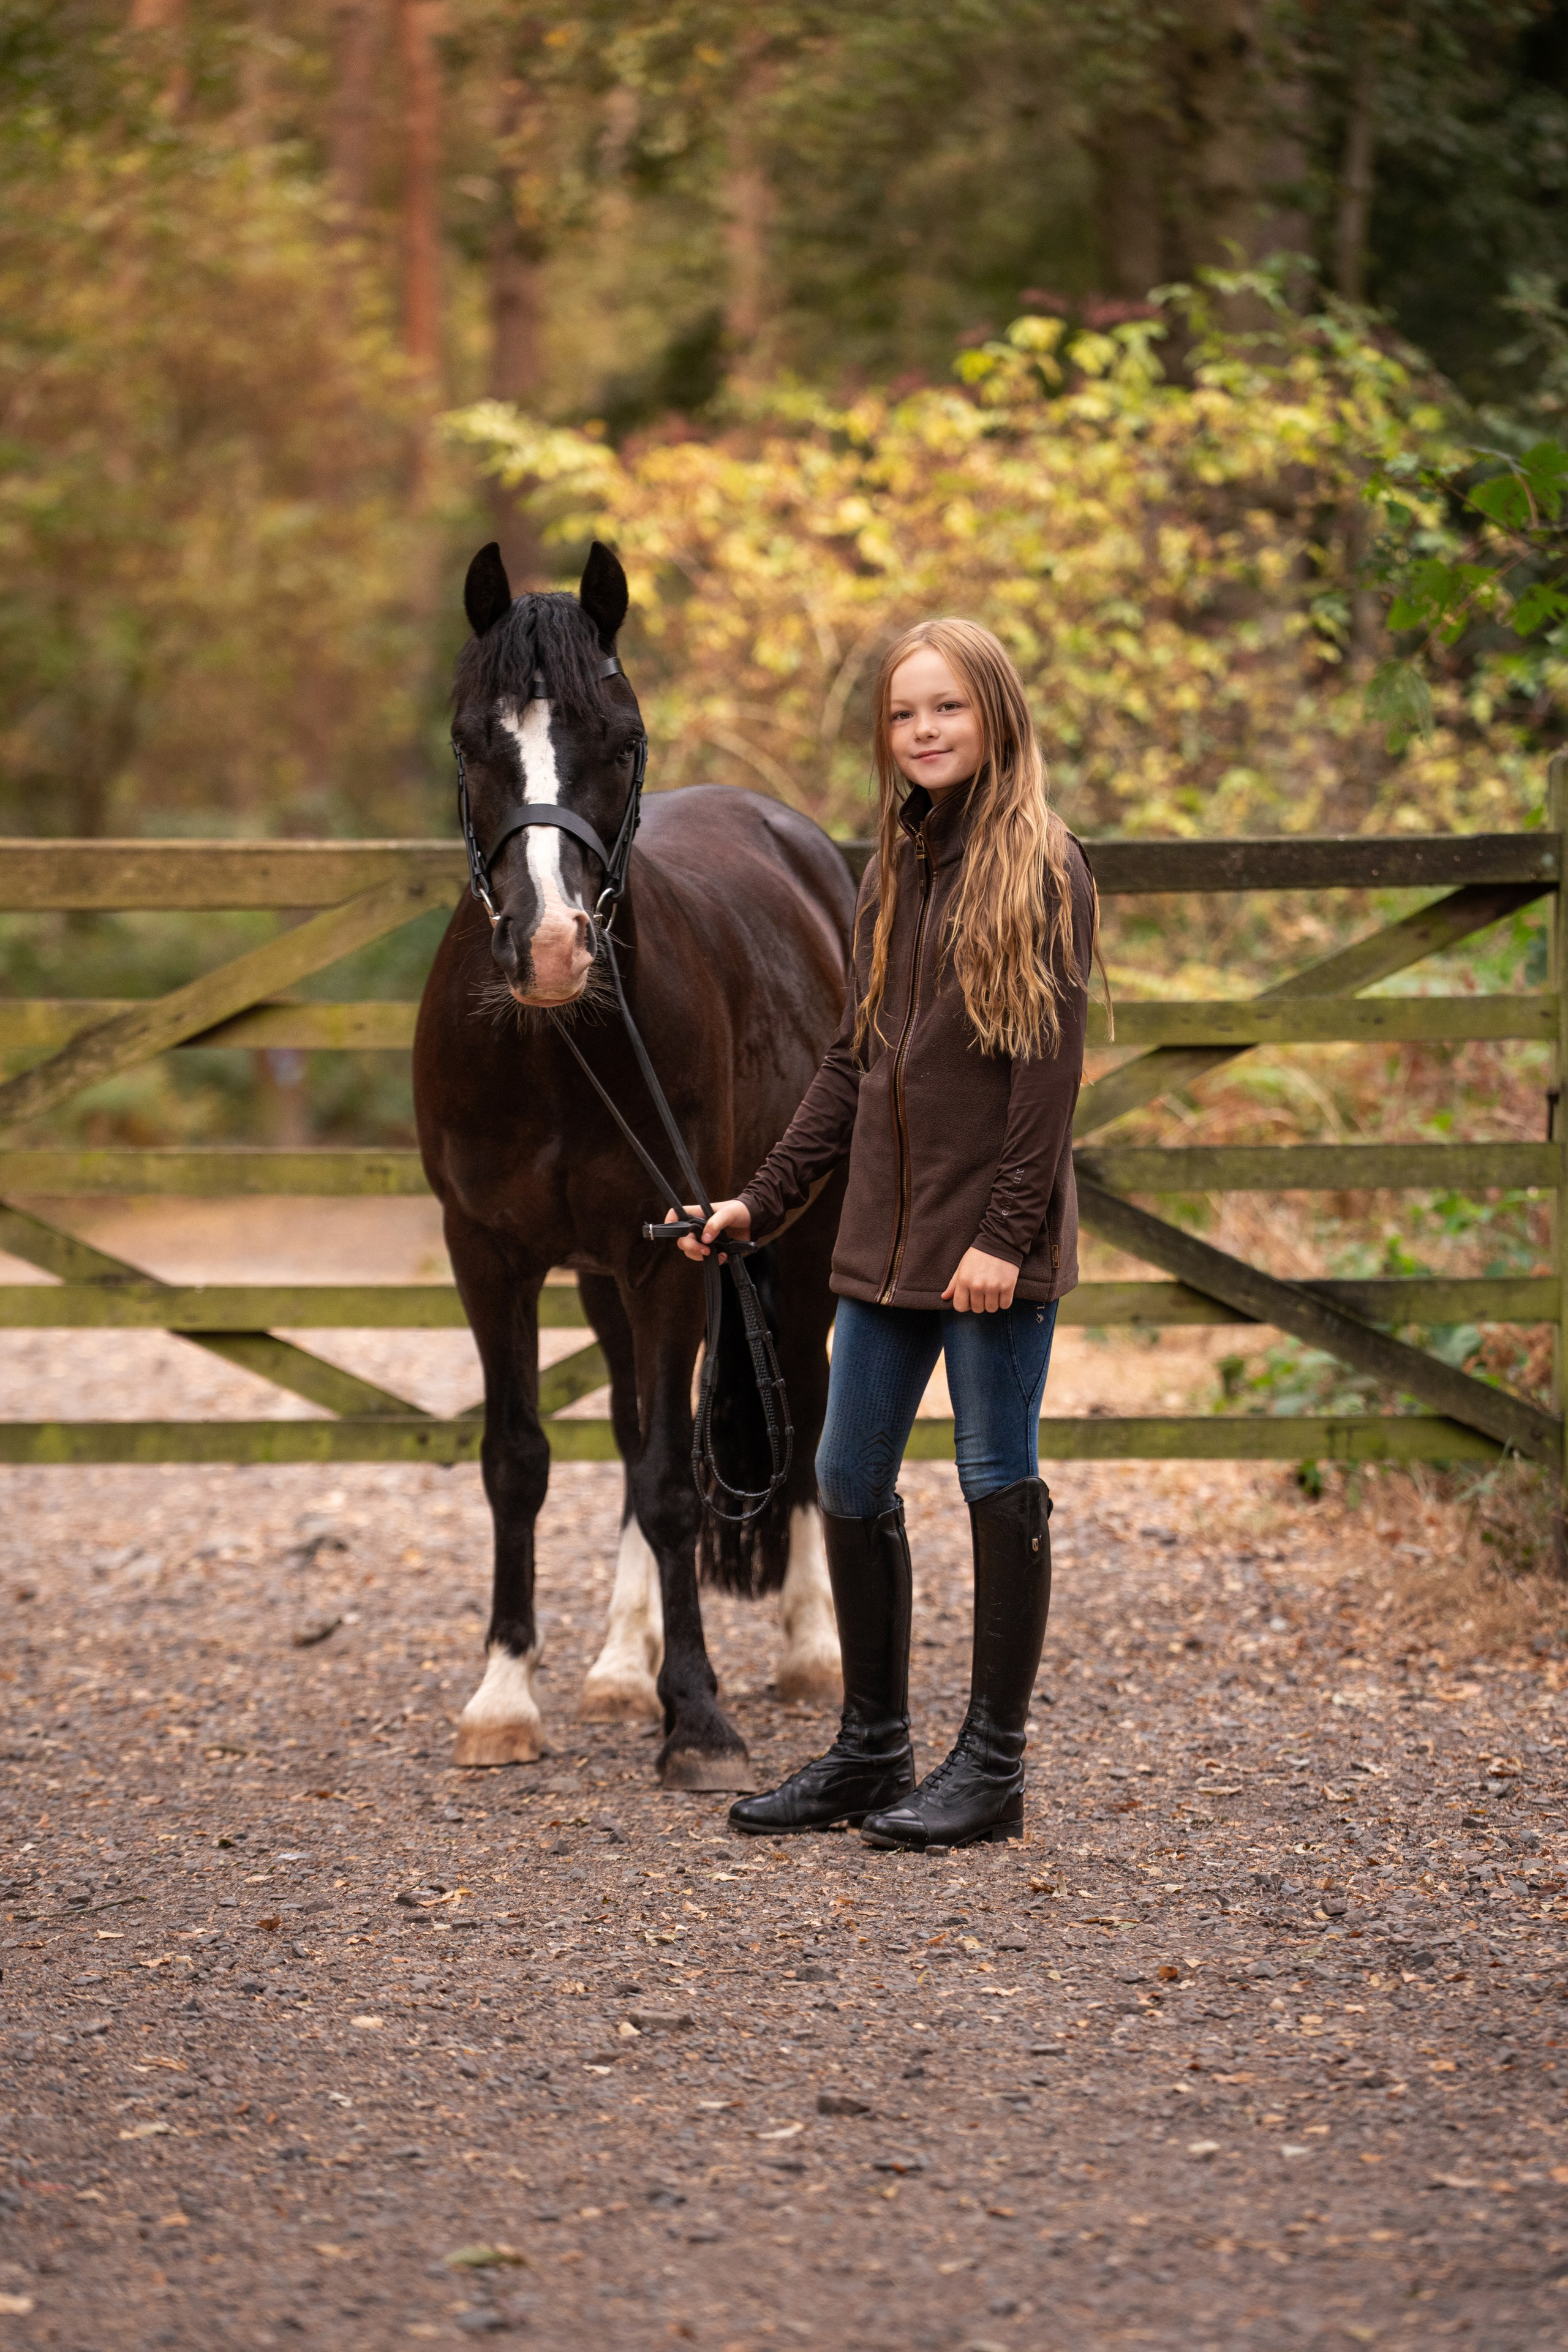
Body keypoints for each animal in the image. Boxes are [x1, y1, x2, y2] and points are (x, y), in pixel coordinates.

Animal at [412, 539, 855, 1789]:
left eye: (622, 741)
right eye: (472, 741)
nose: (554, 948)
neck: (560, 1052)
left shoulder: (673, 1261)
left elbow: (671, 1485)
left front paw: (696, 1715)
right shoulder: (490, 1255)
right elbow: (520, 1460)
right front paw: (506, 1696)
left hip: (797, 1249)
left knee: (801, 1404)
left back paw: (811, 1649)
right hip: (609, 1278)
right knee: (624, 1419)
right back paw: (618, 1666)